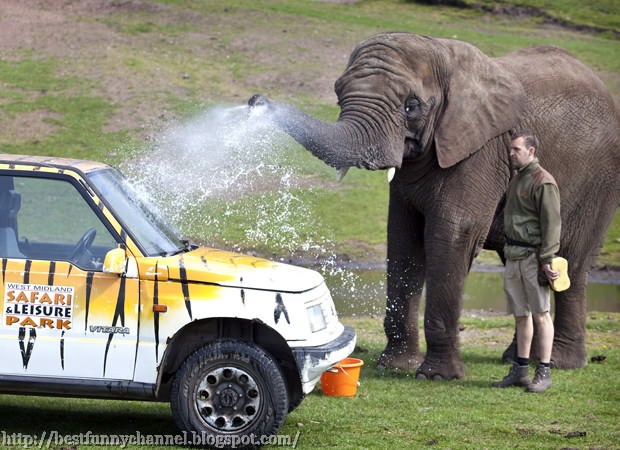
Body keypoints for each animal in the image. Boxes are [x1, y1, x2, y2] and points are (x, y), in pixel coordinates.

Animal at [249, 30, 620, 380]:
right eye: (338, 92)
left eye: (411, 106)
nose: (255, 101)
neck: (444, 54)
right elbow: (403, 238)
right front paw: (395, 366)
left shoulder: (480, 150)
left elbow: (452, 234)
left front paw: (436, 376)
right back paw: (515, 358)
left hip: (598, 183)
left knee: (572, 261)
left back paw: (561, 362)